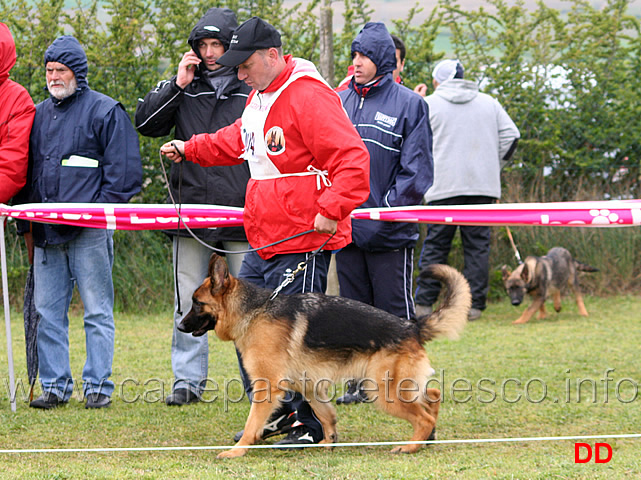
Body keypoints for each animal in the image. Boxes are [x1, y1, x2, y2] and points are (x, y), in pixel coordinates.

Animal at [176, 253, 470, 460]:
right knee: (433, 396)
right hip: (398, 386)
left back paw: (411, 446)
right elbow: (326, 416)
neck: (255, 311)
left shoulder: (267, 388)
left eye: (196, 303)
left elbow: (252, 424)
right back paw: (426, 438)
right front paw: (328, 443)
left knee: (424, 416)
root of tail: (411, 326)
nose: (179, 327)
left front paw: (238, 450)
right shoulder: (311, 387)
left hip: (383, 392)